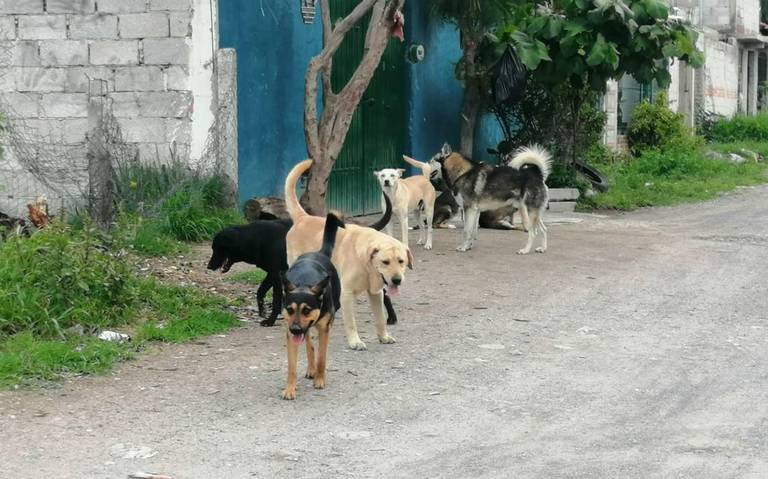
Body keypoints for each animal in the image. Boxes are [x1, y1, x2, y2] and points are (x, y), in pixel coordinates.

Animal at [280, 212, 344, 400]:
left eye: (307, 310)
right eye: (290, 309)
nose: (295, 329)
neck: (304, 283)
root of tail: (319, 252)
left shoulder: (324, 329)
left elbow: (322, 358)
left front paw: (320, 380)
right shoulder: (290, 333)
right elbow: (292, 366)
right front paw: (290, 388)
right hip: (302, 329)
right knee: (309, 344)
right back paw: (310, 368)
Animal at [284, 159, 414, 350]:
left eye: (401, 261)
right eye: (385, 262)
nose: (397, 280)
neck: (367, 264)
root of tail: (303, 217)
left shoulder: (376, 293)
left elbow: (380, 318)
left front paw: (384, 336)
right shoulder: (346, 293)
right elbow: (351, 322)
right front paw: (355, 341)